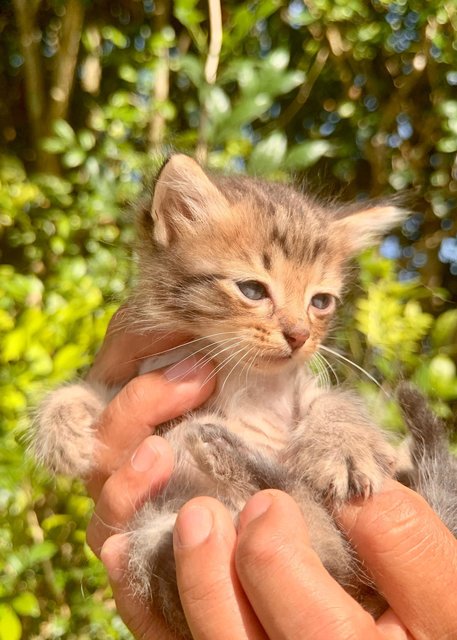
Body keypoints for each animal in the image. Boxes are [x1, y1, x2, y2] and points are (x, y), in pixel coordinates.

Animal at [35, 154, 414, 636]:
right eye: (252, 290)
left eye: (321, 301)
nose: (299, 336)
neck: (242, 375)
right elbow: (91, 394)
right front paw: (60, 431)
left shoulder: (302, 388)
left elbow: (335, 401)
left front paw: (345, 447)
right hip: (154, 534)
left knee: (331, 552)